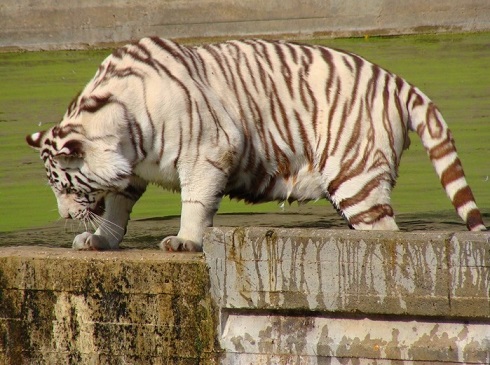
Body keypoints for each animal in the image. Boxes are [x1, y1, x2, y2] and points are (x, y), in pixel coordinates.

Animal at [26, 37, 486, 250]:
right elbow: (117, 210)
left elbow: (194, 204)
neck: (125, 127)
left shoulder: (208, 151)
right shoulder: (131, 172)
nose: (65, 217)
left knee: (387, 234)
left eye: (66, 187)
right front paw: (99, 240)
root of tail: (395, 80)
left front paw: (185, 242)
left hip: (356, 178)